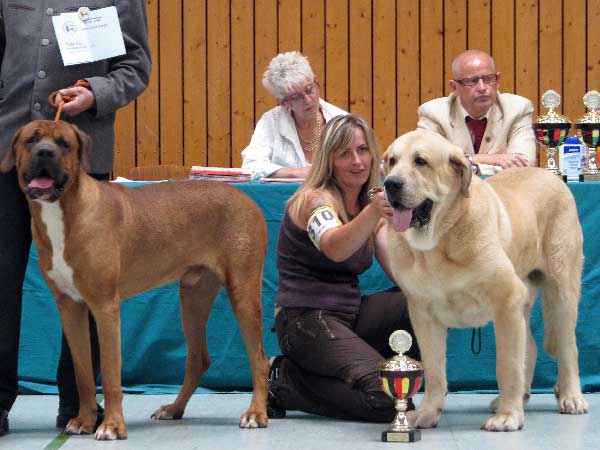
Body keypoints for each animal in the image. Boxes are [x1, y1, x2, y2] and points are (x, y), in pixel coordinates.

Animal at [2, 119, 270, 440]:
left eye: (64, 143)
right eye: (31, 140)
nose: (45, 152)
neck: (63, 211)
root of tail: (247, 199)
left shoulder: (104, 306)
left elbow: (109, 372)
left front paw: (111, 426)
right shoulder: (70, 307)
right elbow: (83, 373)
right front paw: (84, 420)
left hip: (242, 291)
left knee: (259, 359)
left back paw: (256, 413)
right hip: (193, 297)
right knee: (198, 359)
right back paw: (174, 409)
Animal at [384, 130, 584, 432]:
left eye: (421, 161)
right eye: (392, 161)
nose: (390, 183)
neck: (439, 242)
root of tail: (552, 176)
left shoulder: (507, 300)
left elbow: (507, 364)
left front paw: (508, 416)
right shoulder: (423, 314)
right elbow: (434, 369)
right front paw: (428, 412)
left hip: (561, 290)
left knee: (567, 346)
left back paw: (570, 397)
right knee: (531, 346)